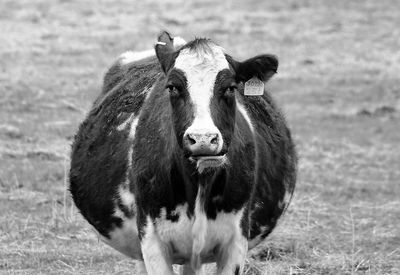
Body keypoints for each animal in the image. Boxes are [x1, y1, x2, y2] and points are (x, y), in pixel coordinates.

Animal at [69, 31, 296, 274]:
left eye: (231, 87)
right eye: (172, 87)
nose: (203, 139)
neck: (199, 186)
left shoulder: (237, 239)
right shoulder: (151, 238)